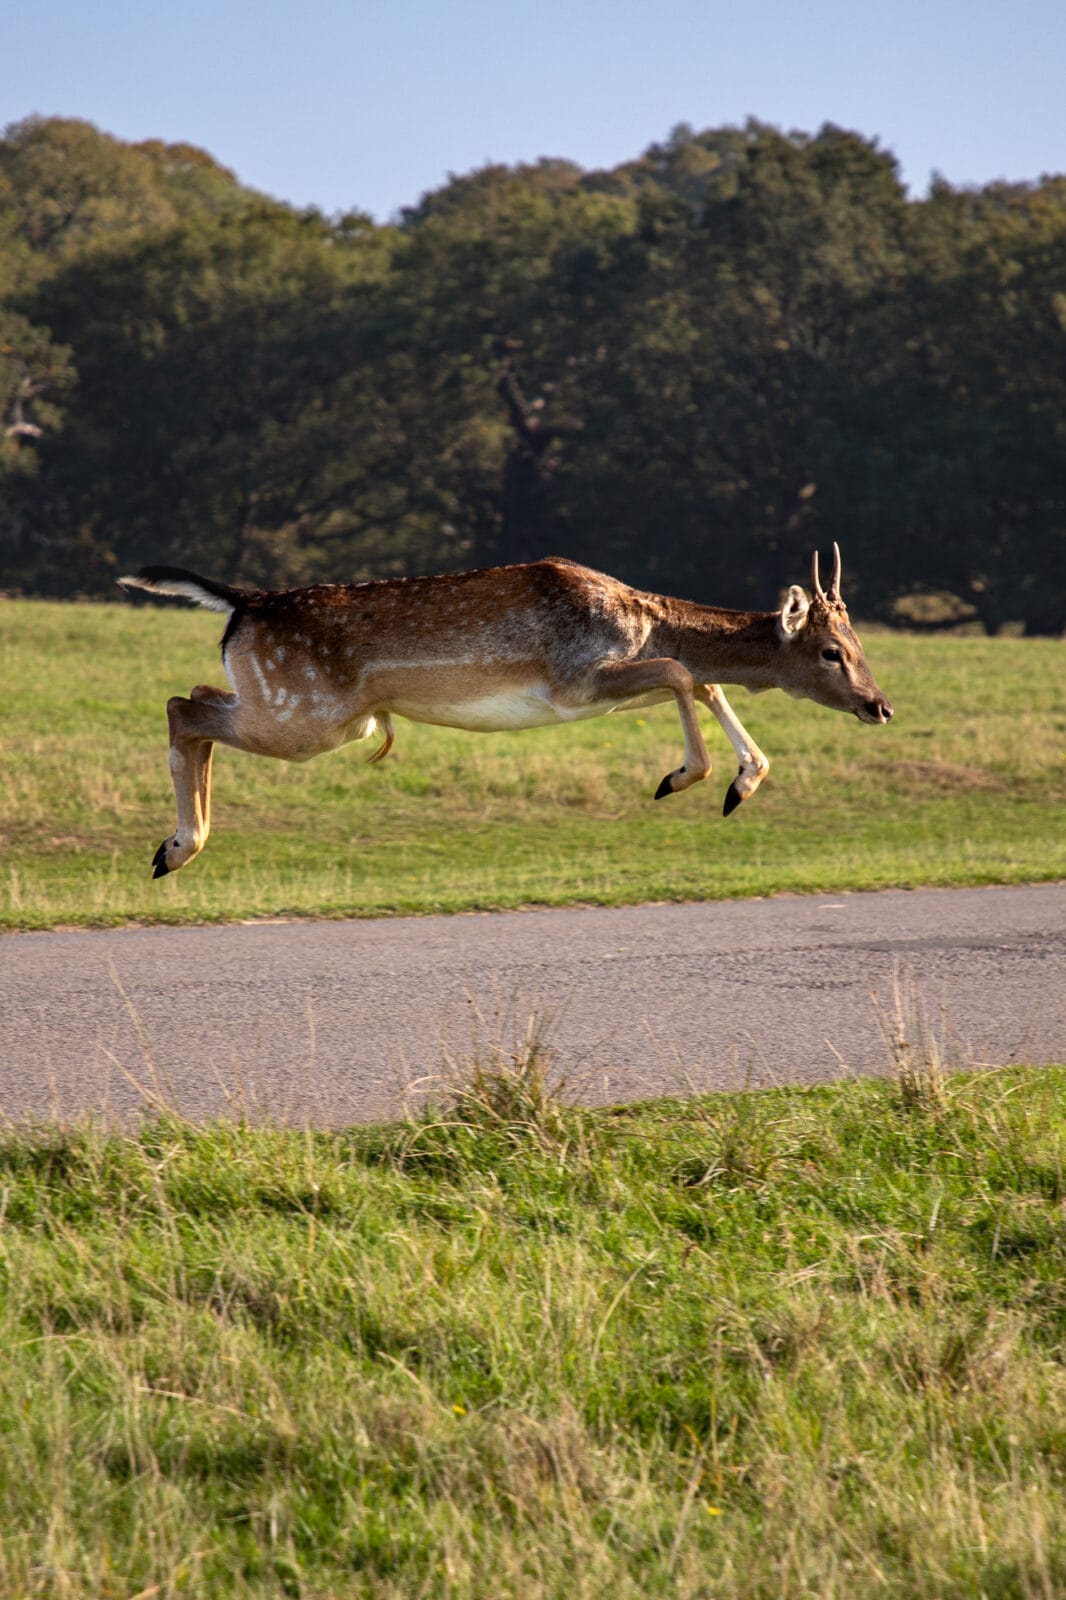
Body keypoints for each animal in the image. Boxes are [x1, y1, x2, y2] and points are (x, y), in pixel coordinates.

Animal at [119, 545, 892, 878]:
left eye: (858, 643)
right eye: (831, 651)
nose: (879, 705)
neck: (639, 619)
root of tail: (242, 605)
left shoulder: (604, 688)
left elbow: (704, 683)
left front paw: (742, 782)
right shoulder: (575, 682)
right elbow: (683, 671)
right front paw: (684, 778)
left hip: (314, 713)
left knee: (195, 701)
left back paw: (171, 850)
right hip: (307, 715)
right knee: (181, 707)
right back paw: (176, 850)